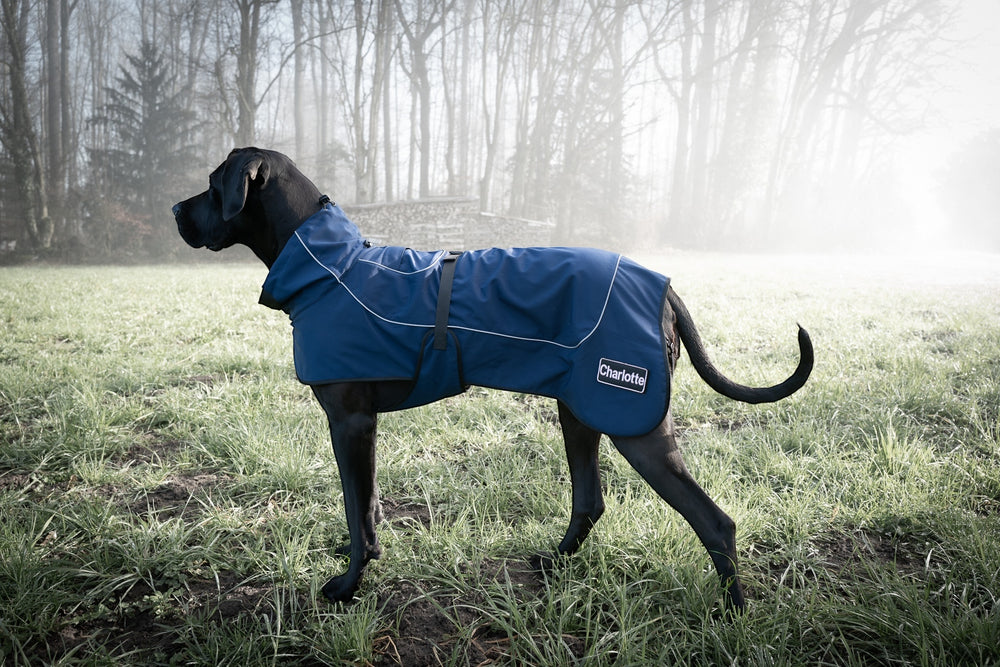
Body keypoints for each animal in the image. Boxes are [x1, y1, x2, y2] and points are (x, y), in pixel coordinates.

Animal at [174, 147, 812, 616]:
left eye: (212, 184)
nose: (176, 212)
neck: (332, 268)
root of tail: (664, 288)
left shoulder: (349, 422)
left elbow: (358, 516)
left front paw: (348, 586)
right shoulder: (362, 427)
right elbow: (369, 506)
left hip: (635, 425)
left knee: (716, 523)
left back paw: (732, 614)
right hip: (580, 412)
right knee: (590, 500)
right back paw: (555, 564)